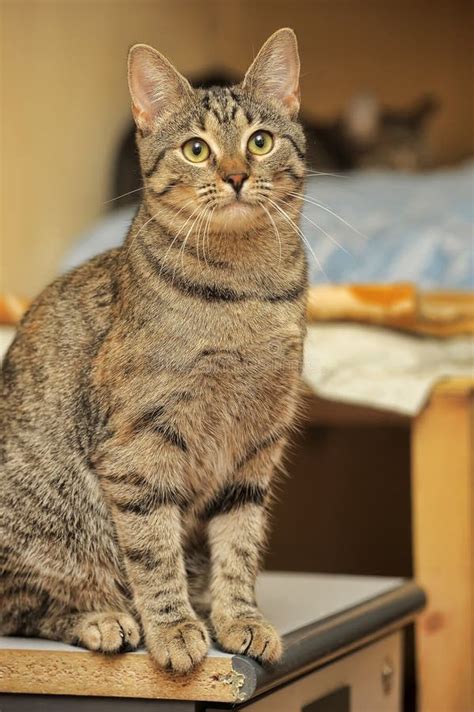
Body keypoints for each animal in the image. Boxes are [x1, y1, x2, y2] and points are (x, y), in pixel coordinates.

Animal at [0, 27, 308, 672]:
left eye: (260, 141)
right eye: (195, 150)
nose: (236, 175)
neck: (246, 291)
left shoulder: (255, 450)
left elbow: (239, 546)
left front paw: (238, 617)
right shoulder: (139, 447)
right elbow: (152, 550)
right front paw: (173, 627)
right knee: (24, 604)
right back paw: (104, 619)